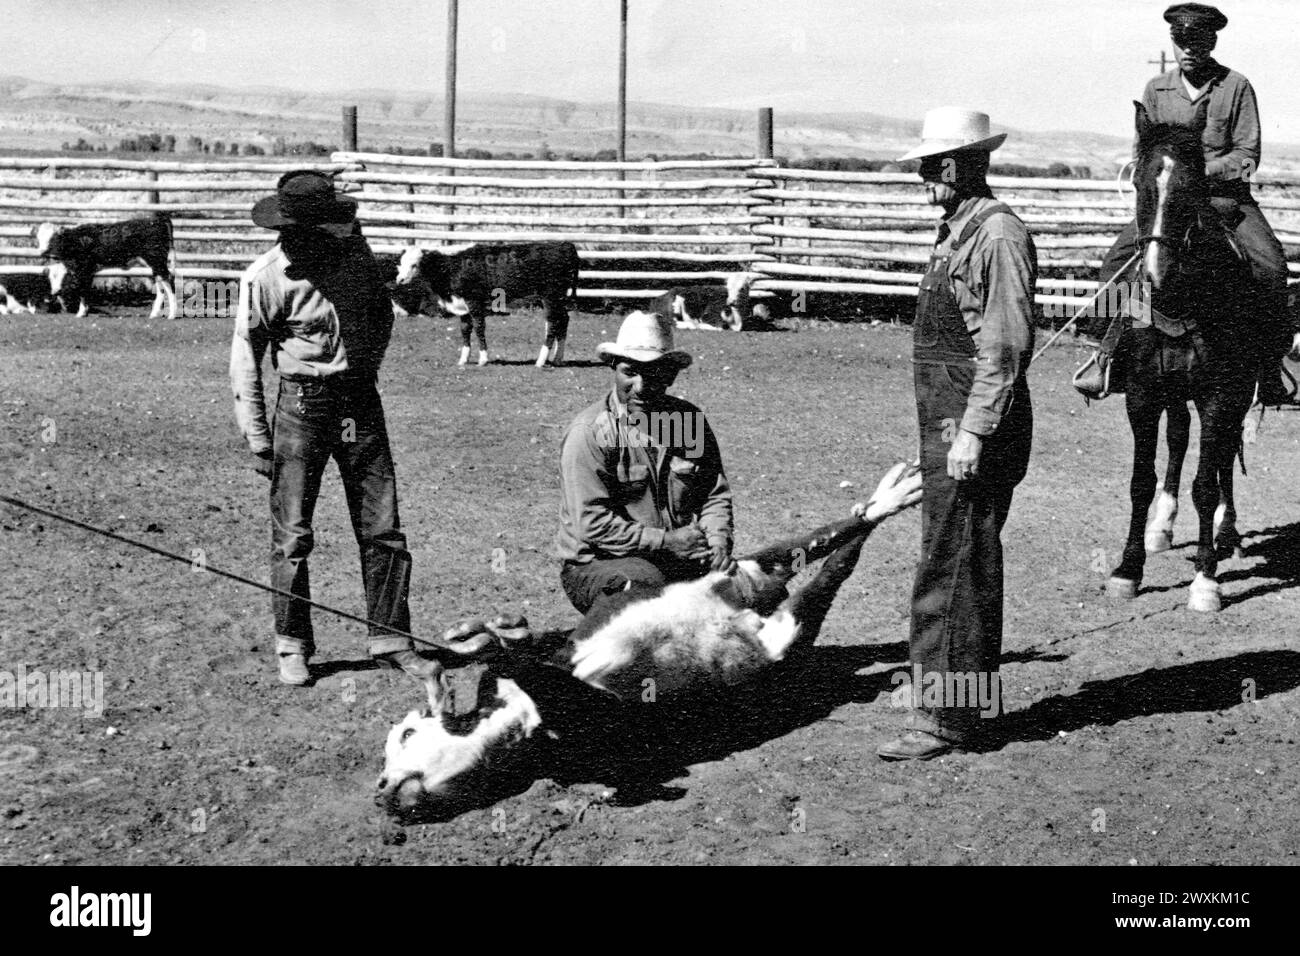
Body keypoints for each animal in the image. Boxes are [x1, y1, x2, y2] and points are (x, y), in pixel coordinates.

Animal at [34, 217, 178, 321]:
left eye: (53, 238)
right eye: (38, 238)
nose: (42, 252)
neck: (75, 241)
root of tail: (157, 220)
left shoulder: (85, 269)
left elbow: (83, 290)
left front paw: (80, 313)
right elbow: (86, 290)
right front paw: (84, 311)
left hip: (156, 260)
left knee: (169, 280)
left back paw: (172, 315)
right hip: (154, 265)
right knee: (160, 284)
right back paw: (154, 314)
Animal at [377, 463, 925, 822]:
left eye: (406, 734)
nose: (382, 790)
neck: (523, 718)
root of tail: (754, 600)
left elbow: (516, 657)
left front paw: (482, 637)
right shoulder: (607, 722)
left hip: (755, 570)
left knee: (833, 541)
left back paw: (893, 493)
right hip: (782, 625)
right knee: (836, 560)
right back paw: (893, 496)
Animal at [390, 240, 579, 369]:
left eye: (415, 264)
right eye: (401, 263)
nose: (400, 279)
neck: (453, 268)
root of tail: (564, 244)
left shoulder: (474, 302)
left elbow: (479, 328)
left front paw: (483, 359)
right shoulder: (462, 306)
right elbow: (465, 330)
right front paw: (463, 359)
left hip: (550, 296)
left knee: (553, 323)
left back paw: (540, 361)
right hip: (558, 298)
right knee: (563, 321)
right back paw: (557, 358)